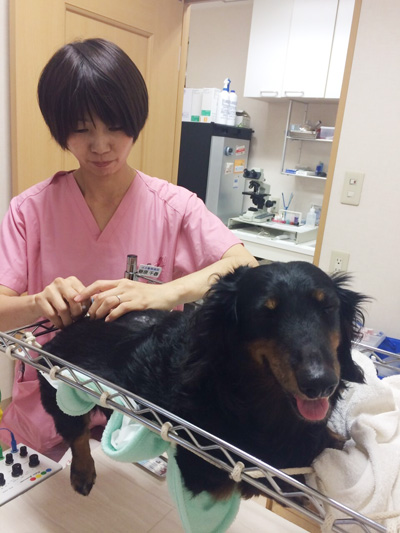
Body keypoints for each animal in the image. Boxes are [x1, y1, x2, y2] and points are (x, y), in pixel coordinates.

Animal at [39, 262, 368, 498]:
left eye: (328, 307)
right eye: (266, 313)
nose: (320, 383)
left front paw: (337, 438)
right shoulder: (207, 469)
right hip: (60, 386)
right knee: (76, 433)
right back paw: (82, 472)